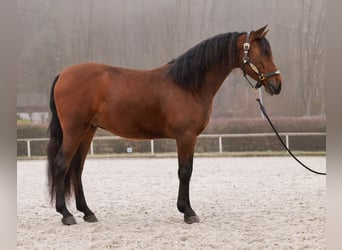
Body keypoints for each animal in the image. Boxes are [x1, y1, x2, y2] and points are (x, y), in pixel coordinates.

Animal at [46, 24, 282, 225]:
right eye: (260, 53)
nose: (277, 85)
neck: (188, 85)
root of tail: (62, 74)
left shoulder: (188, 138)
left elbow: (187, 170)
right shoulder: (186, 137)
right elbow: (185, 171)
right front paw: (188, 212)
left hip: (88, 131)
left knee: (77, 168)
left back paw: (87, 212)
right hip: (75, 130)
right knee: (61, 164)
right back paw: (66, 214)